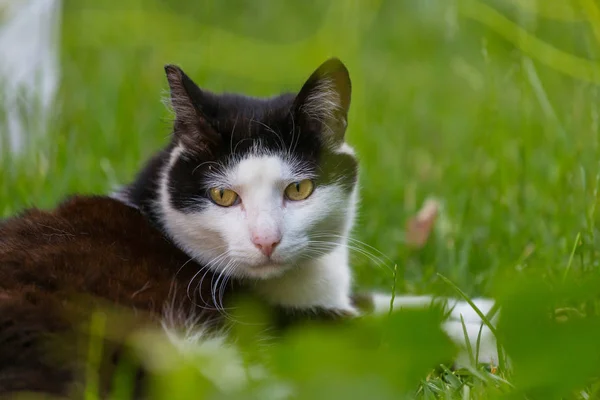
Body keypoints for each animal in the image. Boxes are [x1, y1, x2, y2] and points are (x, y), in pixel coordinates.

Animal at [0, 57, 496, 398]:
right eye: (223, 196)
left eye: (299, 189)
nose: (266, 240)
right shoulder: (290, 330)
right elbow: (406, 330)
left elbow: (403, 304)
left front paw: (491, 305)